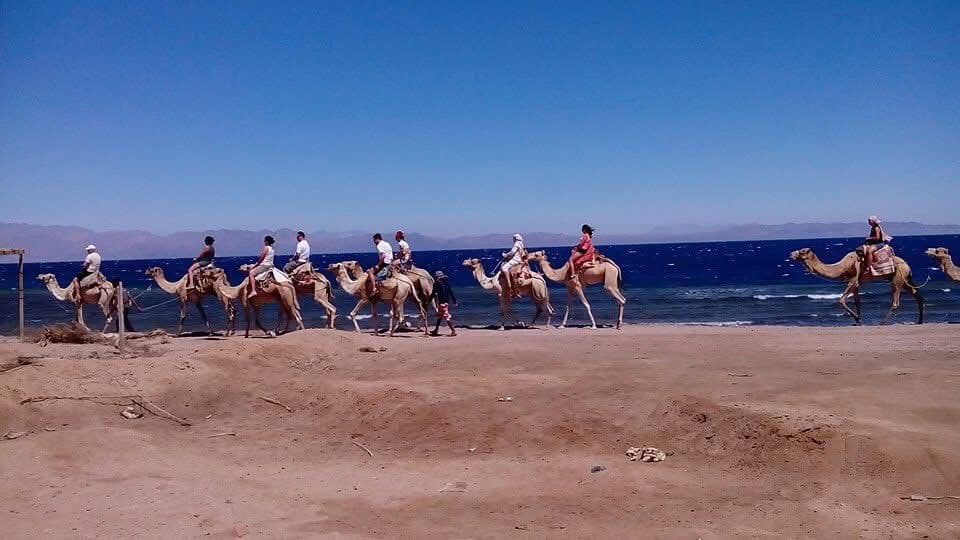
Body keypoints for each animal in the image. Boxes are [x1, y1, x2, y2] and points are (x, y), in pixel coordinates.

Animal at [789, 247, 924, 325]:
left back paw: (882, 322)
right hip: (905, 280)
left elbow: (841, 300)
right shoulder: (856, 284)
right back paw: (920, 321)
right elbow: (857, 302)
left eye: (802, 251)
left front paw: (857, 319)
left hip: (897, 279)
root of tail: (907, 266)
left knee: (896, 302)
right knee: (918, 297)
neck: (841, 267)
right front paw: (859, 320)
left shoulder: (853, 281)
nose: (791, 254)